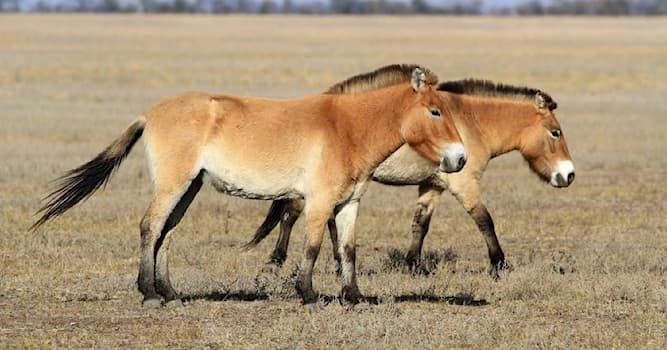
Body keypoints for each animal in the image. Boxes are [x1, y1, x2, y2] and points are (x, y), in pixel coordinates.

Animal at [32, 63, 470, 308]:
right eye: (435, 111)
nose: (460, 159)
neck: (346, 128)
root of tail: (150, 113)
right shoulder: (318, 201)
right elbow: (312, 247)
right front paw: (308, 296)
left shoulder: (349, 203)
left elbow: (347, 250)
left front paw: (355, 298)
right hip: (174, 183)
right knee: (150, 227)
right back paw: (151, 294)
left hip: (189, 187)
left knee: (167, 233)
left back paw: (171, 294)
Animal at [243, 78, 576, 278]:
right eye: (555, 132)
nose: (569, 174)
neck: (473, 122)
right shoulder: (464, 184)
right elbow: (485, 221)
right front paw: (499, 265)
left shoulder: (432, 186)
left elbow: (421, 224)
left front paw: (413, 265)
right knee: (292, 214)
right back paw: (278, 260)